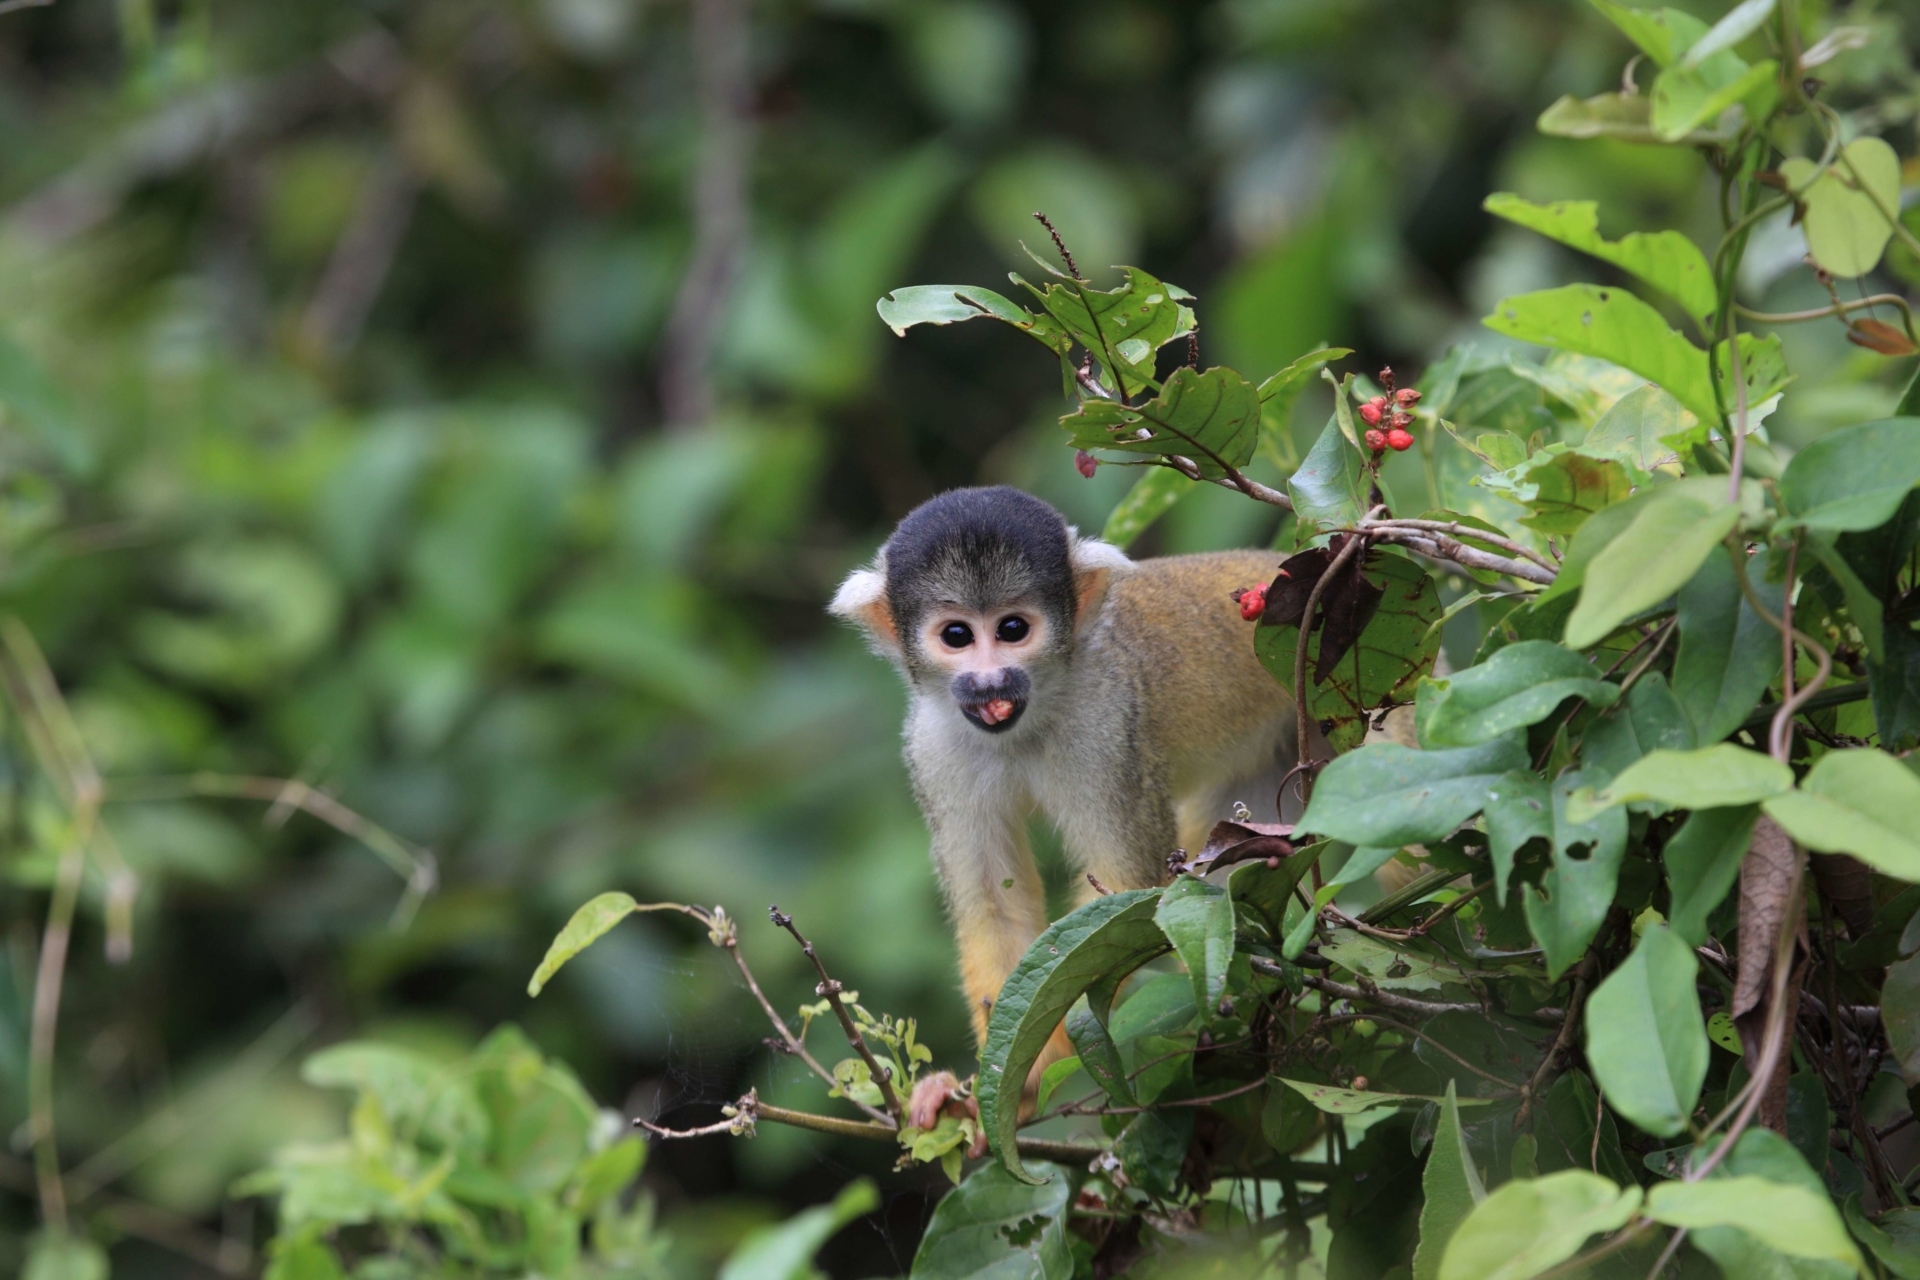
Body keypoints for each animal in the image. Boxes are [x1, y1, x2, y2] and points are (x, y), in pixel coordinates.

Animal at [829, 486, 1307, 1060]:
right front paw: (1006, 1070)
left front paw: (1050, 1050)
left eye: (1013, 629)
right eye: (957, 635)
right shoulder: (933, 747)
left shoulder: (1107, 723)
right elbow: (992, 903)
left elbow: (1122, 888)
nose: (990, 681)